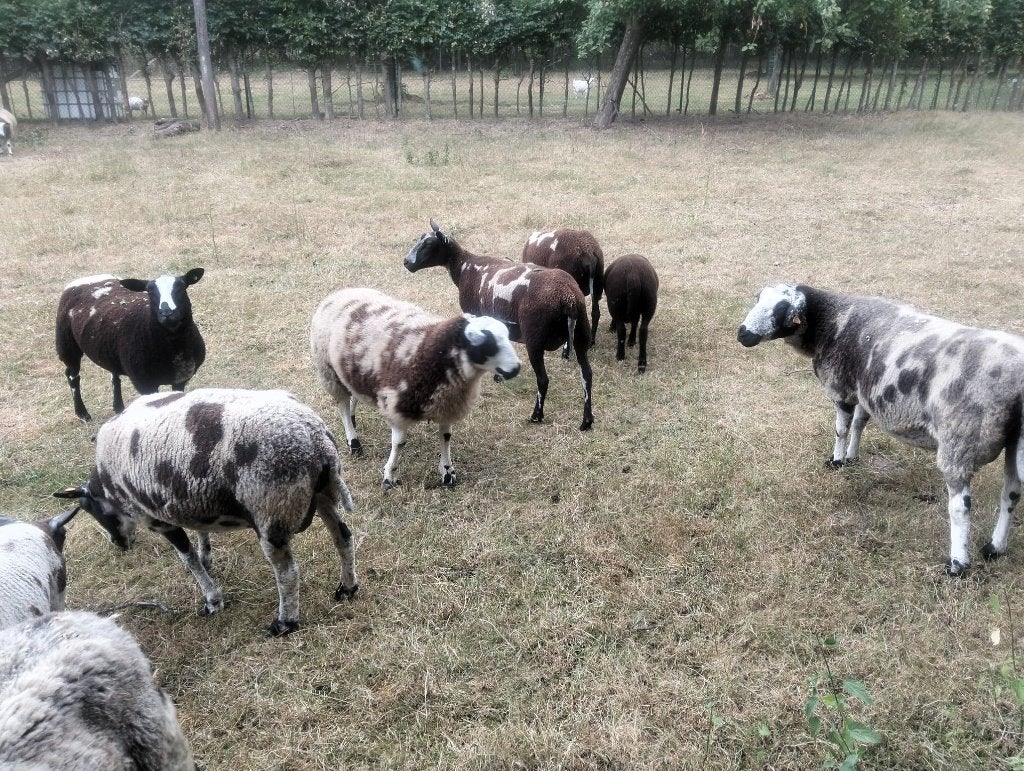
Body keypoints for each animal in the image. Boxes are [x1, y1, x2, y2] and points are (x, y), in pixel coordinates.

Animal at [54, 387, 359, 636]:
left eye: (88, 509)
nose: (119, 544)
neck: (107, 486)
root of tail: (317, 438)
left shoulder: (158, 519)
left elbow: (187, 559)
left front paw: (212, 600)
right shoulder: (187, 500)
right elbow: (199, 535)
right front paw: (206, 557)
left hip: (272, 511)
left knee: (288, 573)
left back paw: (284, 623)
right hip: (321, 495)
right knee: (343, 537)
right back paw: (347, 588)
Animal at [56, 269, 206, 421]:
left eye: (181, 287)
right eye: (149, 291)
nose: (167, 312)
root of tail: (90, 278)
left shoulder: (180, 380)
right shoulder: (144, 384)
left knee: (114, 377)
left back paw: (118, 407)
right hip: (66, 343)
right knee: (72, 376)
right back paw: (82, 413)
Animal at [311, 287, 522, 489]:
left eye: (507, 336)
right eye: (486, 343)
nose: (516, 368)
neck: (429, 350)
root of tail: (341, 292)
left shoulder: (447, 405)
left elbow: (446, 437)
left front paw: (447, 472)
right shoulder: (396, 406)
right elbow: (399, 443)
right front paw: (389, 476)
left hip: (352, 371)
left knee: (353, 395)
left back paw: (354, 421)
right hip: (329, 372)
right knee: (343, 406)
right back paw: (354, 442)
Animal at [404, 219, 595, 431]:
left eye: (429, 244)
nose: (407, 262)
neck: (464, 267)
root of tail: (568, 298)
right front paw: (499, 375)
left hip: (535, 338)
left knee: (543, 379)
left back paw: (536, 416)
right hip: (581, 334)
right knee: (587, 376)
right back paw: (586, 421)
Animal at [737, 283, 1024, 576]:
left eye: (781, 309)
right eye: (758, 299)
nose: (743, 333)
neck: (830, 321)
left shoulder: (841, 388)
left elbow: (841, 429)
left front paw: (836, 460)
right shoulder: (864, 389)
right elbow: (859, 424)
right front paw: (851, 457)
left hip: (961, 439)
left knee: (960, 507)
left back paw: (957, 565)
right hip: (1014, 444)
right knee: (1011, 494)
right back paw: (995, 548)